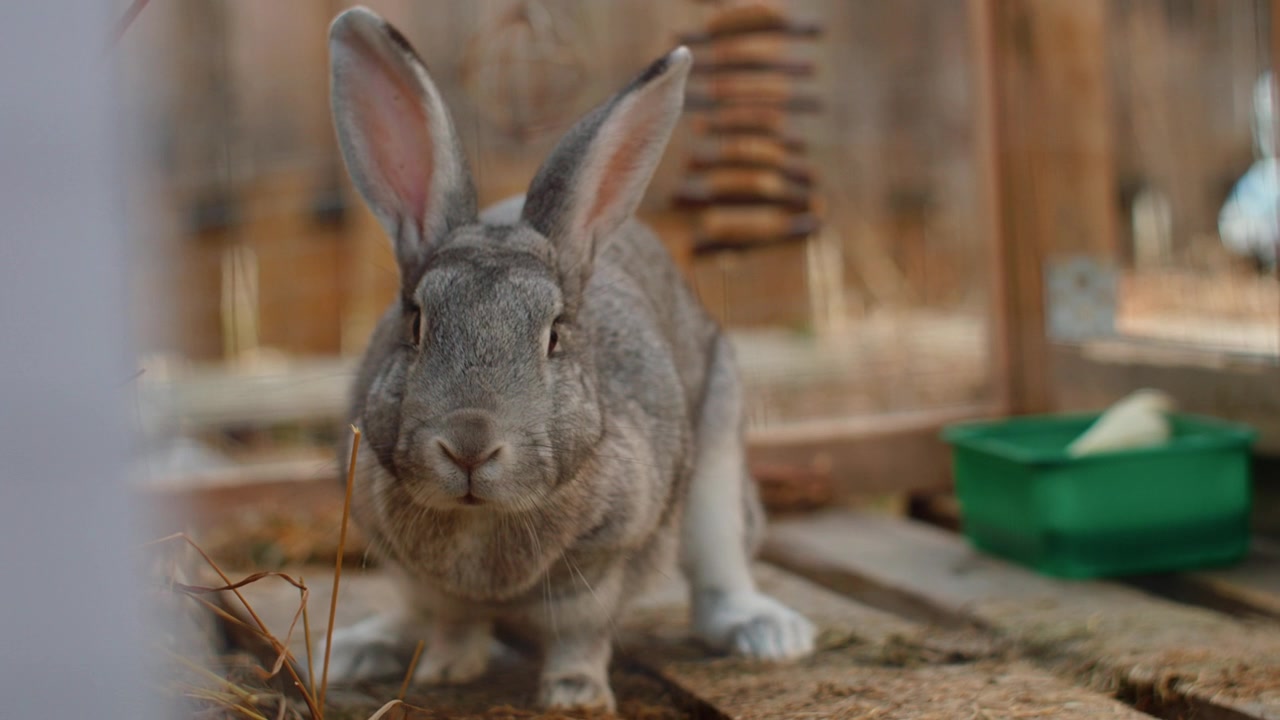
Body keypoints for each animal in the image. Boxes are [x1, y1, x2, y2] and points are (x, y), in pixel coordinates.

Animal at [319, 6, 816, 712]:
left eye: (555, 334)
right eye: (414, 323)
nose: (469, 446)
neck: (482, 519)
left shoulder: (608, 561)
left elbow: (581, 634)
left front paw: (575, 694)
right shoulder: (422, 573)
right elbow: (451, 620)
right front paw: (447, 669)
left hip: (717, 458)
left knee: (720, 573)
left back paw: (768, 634)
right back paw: (357, 649)